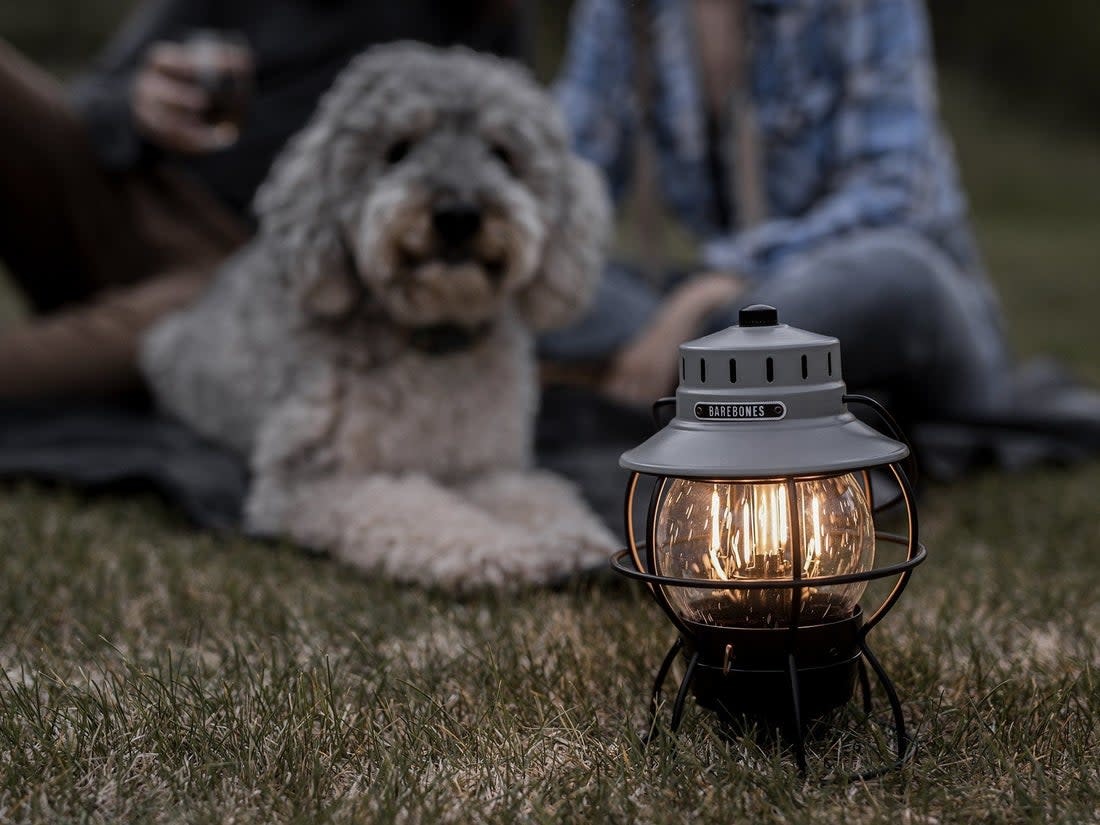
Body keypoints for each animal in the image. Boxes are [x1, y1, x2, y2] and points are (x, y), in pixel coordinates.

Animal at [140, 43, 616, 589]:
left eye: (502, 153)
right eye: (398, 150)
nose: (458, 215)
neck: (431, 341)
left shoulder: (483, 467)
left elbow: (539, 494)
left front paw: (573, 537)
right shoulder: (312, 480)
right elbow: (414, 507)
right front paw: (502, 550)